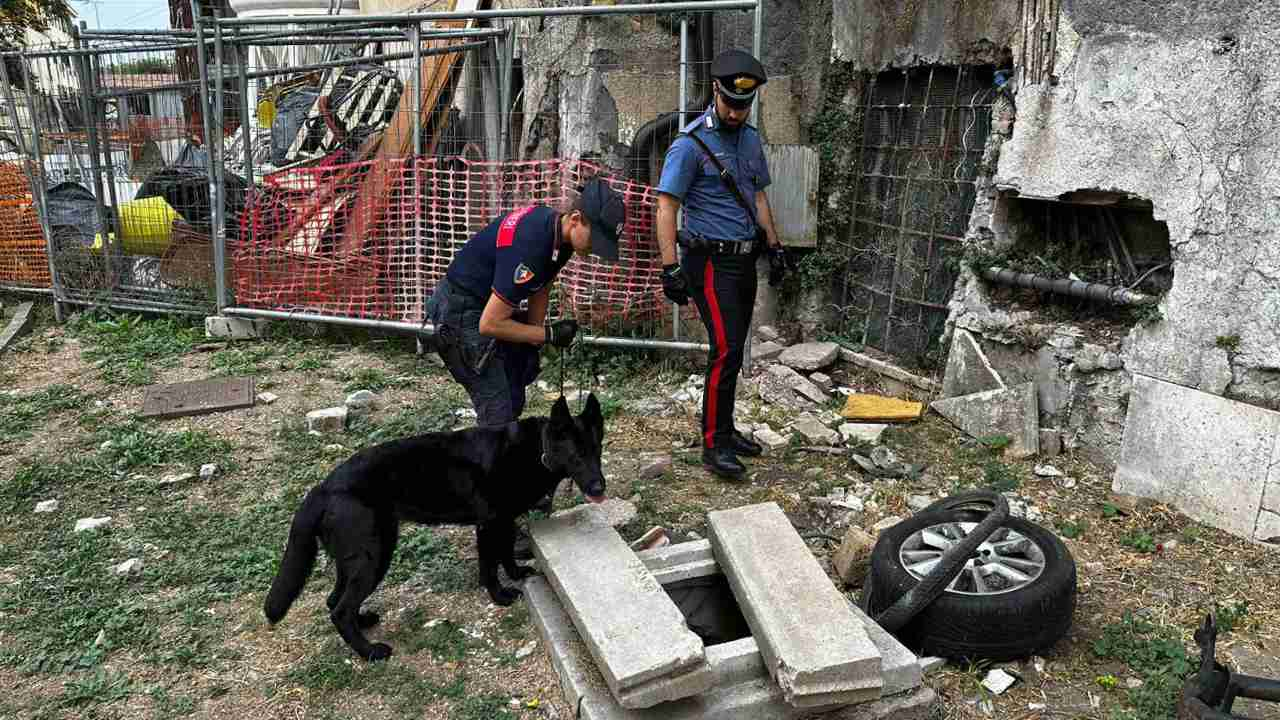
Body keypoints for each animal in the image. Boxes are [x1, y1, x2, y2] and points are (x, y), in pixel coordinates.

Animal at [262, 394, 606, 661]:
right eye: (576, 455)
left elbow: (507, 553)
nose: (599, 488)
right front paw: (499, 595)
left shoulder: (505, 522)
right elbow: (489, 565)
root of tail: (322, 488)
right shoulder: (488, 526)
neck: (539, 450)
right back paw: (370, 652)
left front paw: (517, 573)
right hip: (375, 556)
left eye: (597, 450)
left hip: (358, 558)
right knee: (340, 610)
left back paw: (364, 621)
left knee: (334, 600)